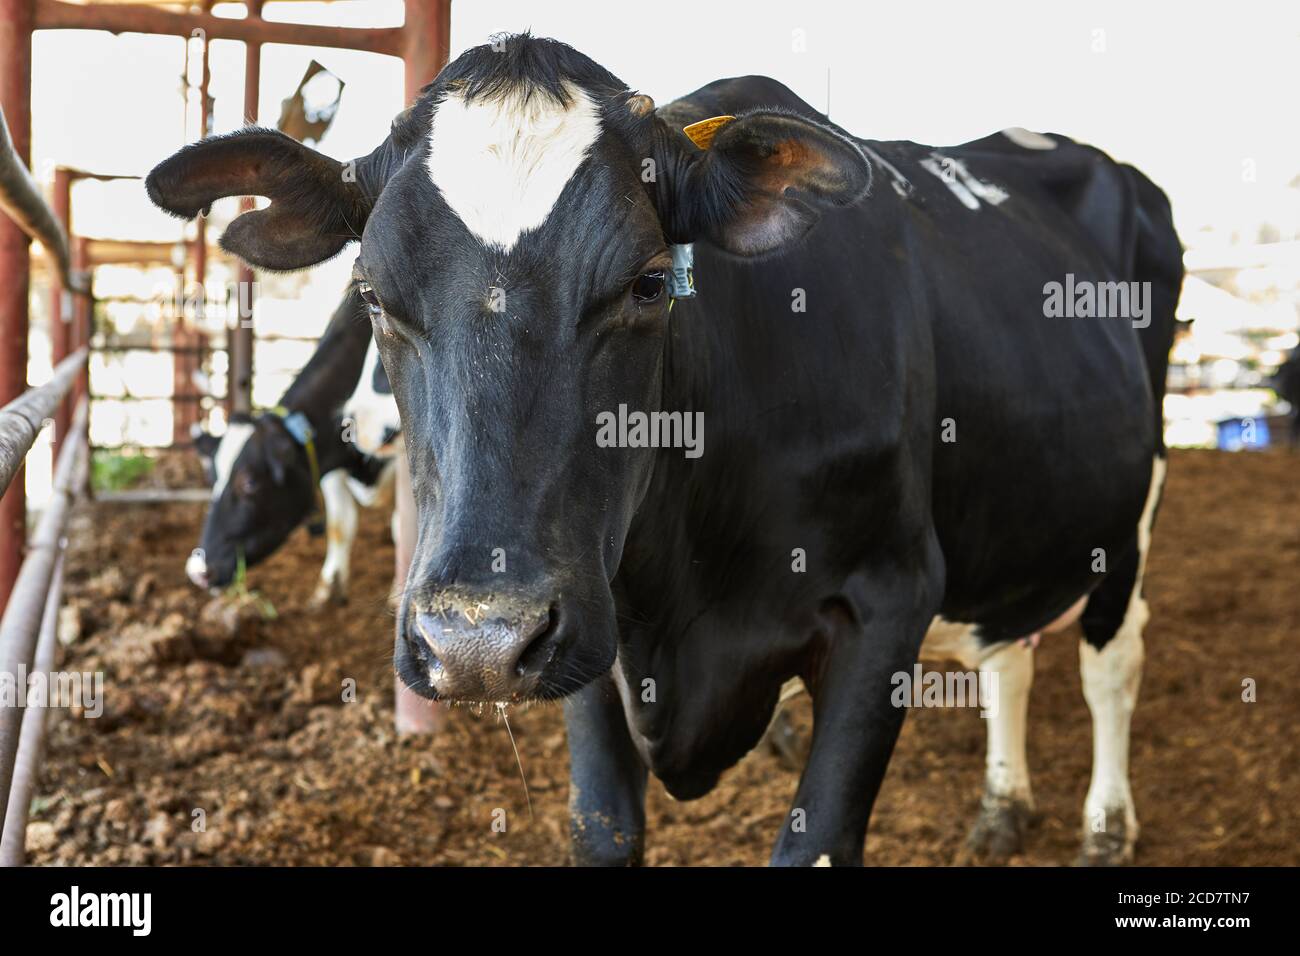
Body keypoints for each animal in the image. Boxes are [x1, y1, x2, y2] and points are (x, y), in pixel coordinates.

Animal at [147, 35, 1183, 866]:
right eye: (370, 293)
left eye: (649, 282)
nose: (476, 641)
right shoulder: (589, 633)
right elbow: (603, 832)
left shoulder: (890, 596)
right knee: (1012, 651)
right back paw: (1004, 807)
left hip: (1133, 506)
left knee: (1111, 658)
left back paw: (1106, 823)